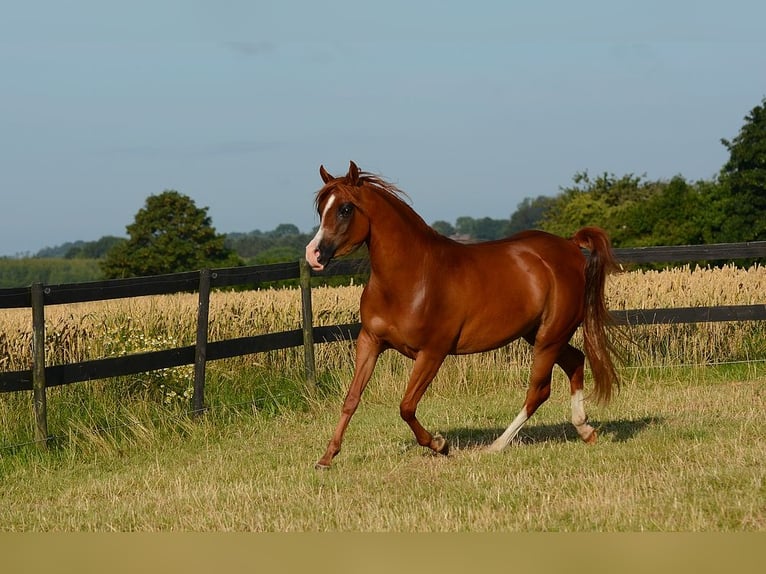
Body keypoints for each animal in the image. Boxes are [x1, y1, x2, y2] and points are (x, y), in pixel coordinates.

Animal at [304, 160, 620, 470]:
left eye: (345, 209)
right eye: (321, 209)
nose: (313, 255)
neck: (411, 278)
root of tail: (570, 246)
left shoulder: (432, 353)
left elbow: (406, 407)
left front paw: (440, 445)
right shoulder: (370, 341)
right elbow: (352, 398)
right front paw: (326, 458)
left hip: (549, 339)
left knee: (538, 391)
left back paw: (496, 446)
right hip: (539, 335)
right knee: (575, 362)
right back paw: (585, 430)